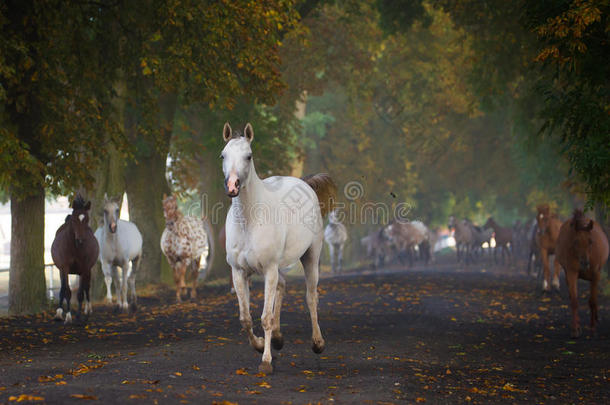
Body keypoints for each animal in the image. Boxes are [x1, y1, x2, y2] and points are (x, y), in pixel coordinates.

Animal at [51, 194, 100, 324]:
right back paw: (59, 313)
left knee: (87, 287)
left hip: (87, 270)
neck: (74, 248)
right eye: (74, 220)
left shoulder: (84, 268)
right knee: (62, 288)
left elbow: (80, 293)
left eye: (86, 219)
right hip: (61, 271)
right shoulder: (64, 268)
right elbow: (67, 291)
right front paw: (68, 316)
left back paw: (88, 310)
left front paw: (79, 315)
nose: (80, 240)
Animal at [221, 120, 334, 372]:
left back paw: (318, 343)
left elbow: (266, 318)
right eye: (223, 155)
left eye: (249, 156)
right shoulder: (239, 272)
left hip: (310, 256)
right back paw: (279, 338)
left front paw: (266, 362)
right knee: (282, 287)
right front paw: (260, 345)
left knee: (311, 297)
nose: (233, 186)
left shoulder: (269, 269)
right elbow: (245, 318)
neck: (250, 221)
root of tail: (305, 184)